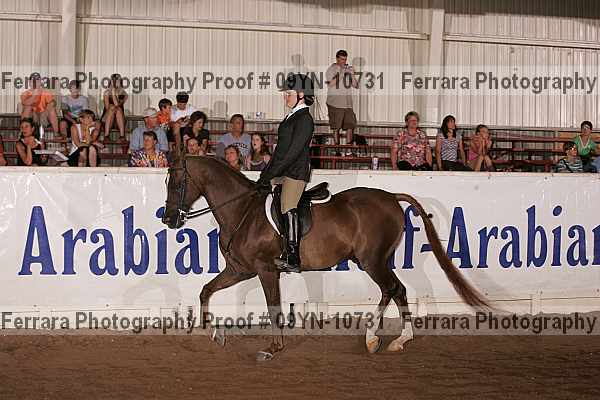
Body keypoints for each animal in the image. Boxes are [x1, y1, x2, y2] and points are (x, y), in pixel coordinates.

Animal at [162, 154, 490, 361]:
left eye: (177, 183)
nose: (169, 219)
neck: (243, 211)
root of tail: (390, 197)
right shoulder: (239, 269)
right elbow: (206, 290)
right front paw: (213, 332)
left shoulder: (266, 270)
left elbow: (273, 307)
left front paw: (273, 348)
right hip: (372, 260)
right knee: (393, 290)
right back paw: (384, 339)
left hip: (372, 261)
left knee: (394, 288)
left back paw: (387, 338)